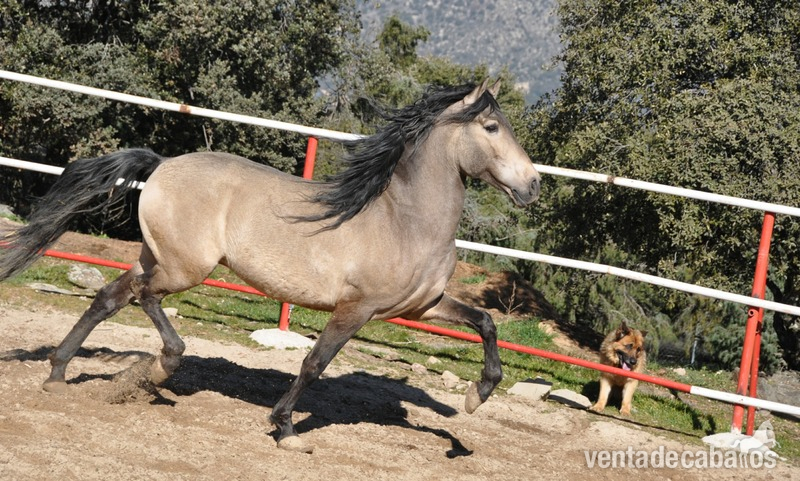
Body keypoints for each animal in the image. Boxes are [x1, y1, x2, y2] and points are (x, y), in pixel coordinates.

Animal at [0, 79, 540, 453]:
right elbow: (314, 363)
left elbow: (486, 323)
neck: (406, 220)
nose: (533, 185)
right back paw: (163, 366)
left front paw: (476, 396)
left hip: (159, 258)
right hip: (184, 269)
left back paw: (58, 375)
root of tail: (163, 164)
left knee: (110, 297)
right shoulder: (356, 308)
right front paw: (285, 430)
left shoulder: (421, 308)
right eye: (491, 127)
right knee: (144, 299)